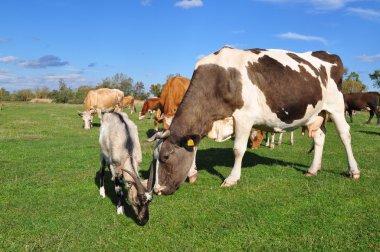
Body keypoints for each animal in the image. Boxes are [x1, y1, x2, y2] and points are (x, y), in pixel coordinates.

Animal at [151, 45, 360, 195]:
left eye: (166, 157)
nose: (158, 190)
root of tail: (328, 54)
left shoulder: (244, 117)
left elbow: (238, 149)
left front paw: (232, 179)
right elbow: (194, 148)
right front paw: (192, 173)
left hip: (336, 106)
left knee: (345, 135)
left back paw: (354, 171)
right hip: (316, 113)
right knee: (319, 138)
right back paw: (313, 169)